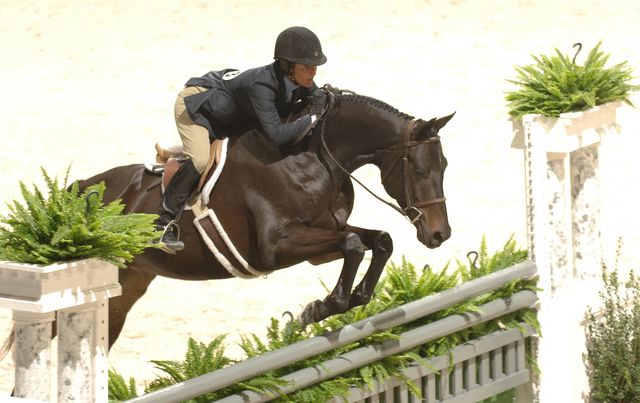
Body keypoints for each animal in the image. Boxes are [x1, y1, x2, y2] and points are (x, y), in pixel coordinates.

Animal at [0, 89, 456, 356]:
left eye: (445, 166)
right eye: (419, 169)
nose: (439, 234)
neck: (311, 156)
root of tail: (73, 192)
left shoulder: (319, 242)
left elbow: (378, 241)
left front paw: (347, 300)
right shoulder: (277, 247)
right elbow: (354, 245)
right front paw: (322, 308)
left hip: (124, 288)